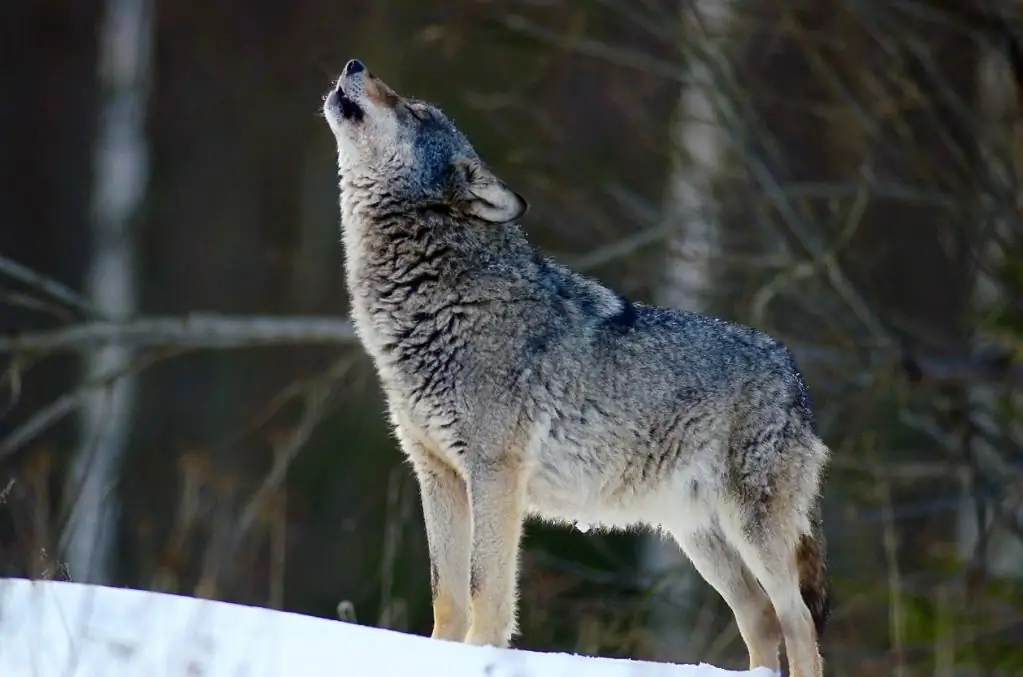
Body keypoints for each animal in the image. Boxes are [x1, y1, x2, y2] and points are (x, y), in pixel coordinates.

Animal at [323, 59, 826, 677]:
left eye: (413, 110)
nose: (354, 64)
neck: (436, 299)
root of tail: (794, 375)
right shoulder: (437, 473)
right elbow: (447, 593)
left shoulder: (495, 473)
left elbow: (484, 586)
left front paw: (480, 655)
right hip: (700, 538)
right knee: (760, 618)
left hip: (751, 532)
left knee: (797, 620)